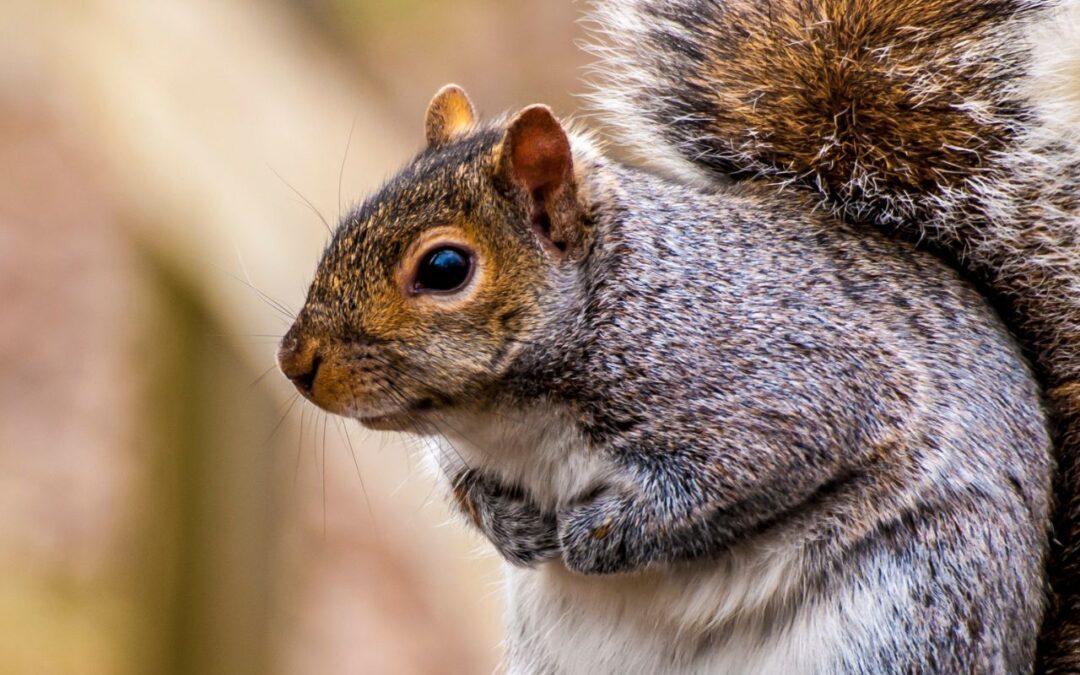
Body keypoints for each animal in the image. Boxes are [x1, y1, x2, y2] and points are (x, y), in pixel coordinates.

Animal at [277, 0, 1080, 672]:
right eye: (349, 222)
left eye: (445, 267)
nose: (294, 361)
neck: (512, 420)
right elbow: (464, 483)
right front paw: (513, 527)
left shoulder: (788, 390)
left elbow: (724, 487)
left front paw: (596, 536)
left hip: (907, 615)